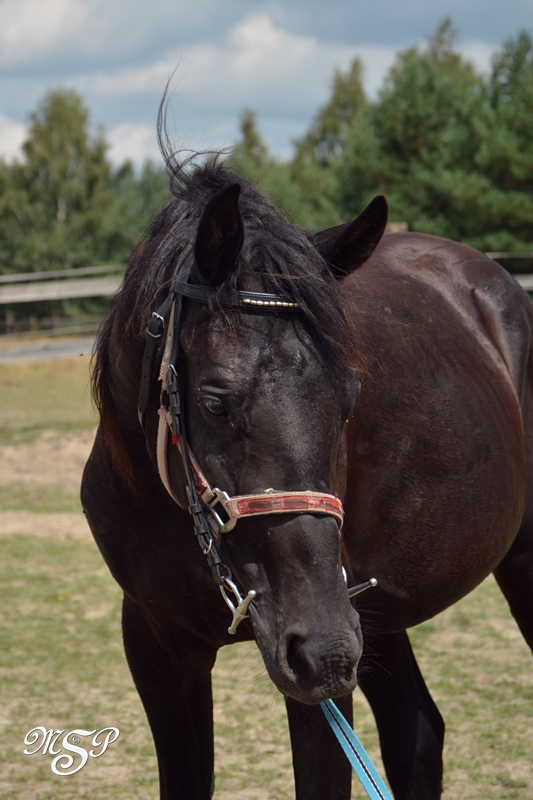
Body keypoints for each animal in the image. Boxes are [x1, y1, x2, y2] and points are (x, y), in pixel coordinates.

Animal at [81, 149, 533, 800]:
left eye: (350, 399)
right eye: (215, 402)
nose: (324, 649)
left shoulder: (323, 673)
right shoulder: (157, 642)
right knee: (417, 732)